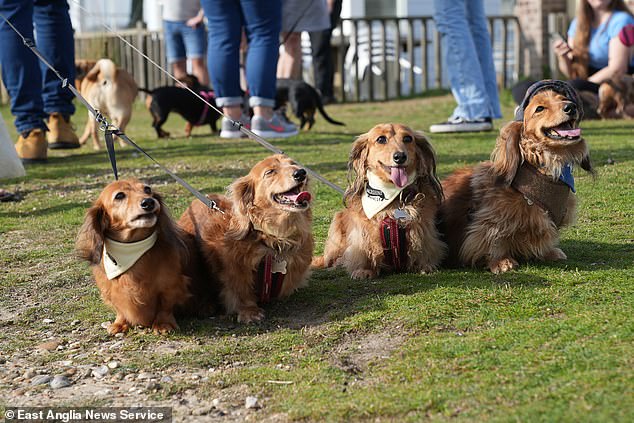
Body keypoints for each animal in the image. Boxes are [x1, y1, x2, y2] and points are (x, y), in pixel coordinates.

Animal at [75, 179, 191, 334]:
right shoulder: (111, 291)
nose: (149, 202)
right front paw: (120, 323)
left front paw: (163, 324)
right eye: (119, 196)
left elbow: (165, 306)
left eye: (147, 189)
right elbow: (119, 308)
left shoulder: (171, 285)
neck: (131, 250)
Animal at [178, 154, 312, 322]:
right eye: (270, 172)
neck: (269, 236)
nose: (301, 173)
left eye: (293, 164)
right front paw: (250, 311)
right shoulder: (235, 267)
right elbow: (240, 289)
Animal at [312, 124, 444, 280]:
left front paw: (423, 266)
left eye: (408, 138)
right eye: (381, 139)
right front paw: (365, 270)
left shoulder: (422, 226)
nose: (400, 156)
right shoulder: (364, 231)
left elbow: (422, 244)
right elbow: (365, 248)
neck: (391, 197)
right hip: (336, 226)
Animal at [436, 82, 592, 274]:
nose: (571, 107)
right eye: (539, 108)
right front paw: (500, 261)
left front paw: (550, 252)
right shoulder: (490, 221)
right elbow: (493, 240)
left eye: (563, 99)